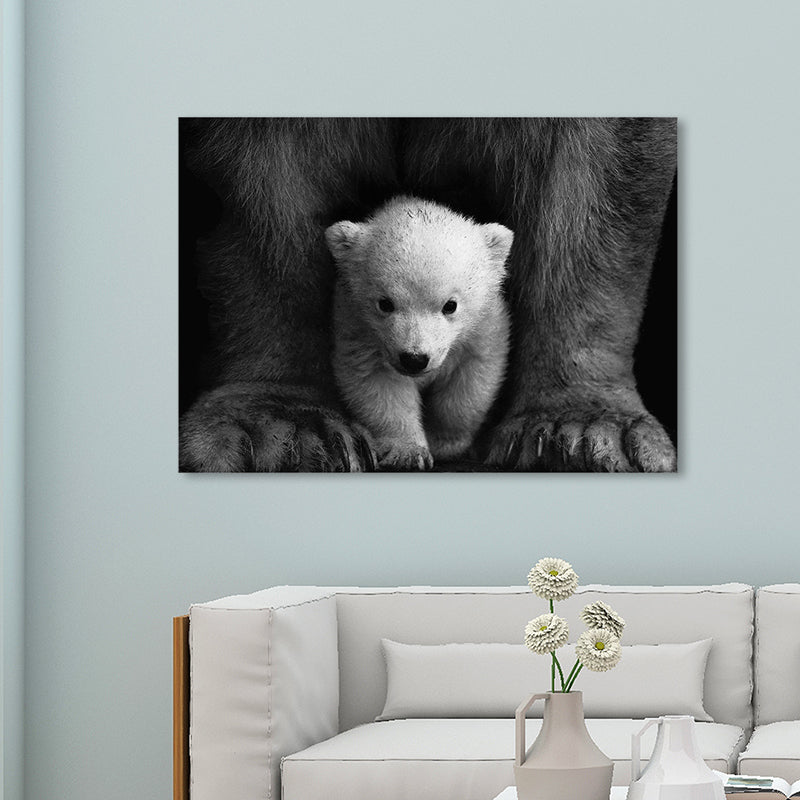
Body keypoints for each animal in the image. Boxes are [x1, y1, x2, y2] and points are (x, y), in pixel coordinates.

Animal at [325, 196, 513, 471]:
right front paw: (409, 452)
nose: (414, 359)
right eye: (385, 303)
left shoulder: (483, 328)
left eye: (450, 305)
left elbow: (470, 382)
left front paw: (444, 442)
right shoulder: (358, 329)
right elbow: (379, 385)